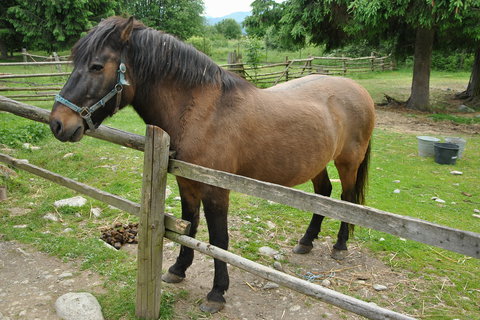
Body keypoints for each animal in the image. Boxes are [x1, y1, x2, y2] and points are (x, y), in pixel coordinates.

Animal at [50, 16, 376, 312]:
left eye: (96, 66)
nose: (58, 123)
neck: (203, 111)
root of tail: (357, 88)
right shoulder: (187, 183)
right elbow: (189, 227)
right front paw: (178, 270)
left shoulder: (216, 191)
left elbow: (219, 239)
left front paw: (217, 293)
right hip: (317, 163)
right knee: (324, 195)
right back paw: (306, 242)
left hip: (348, 162)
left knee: (347, 200)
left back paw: (340, 246)